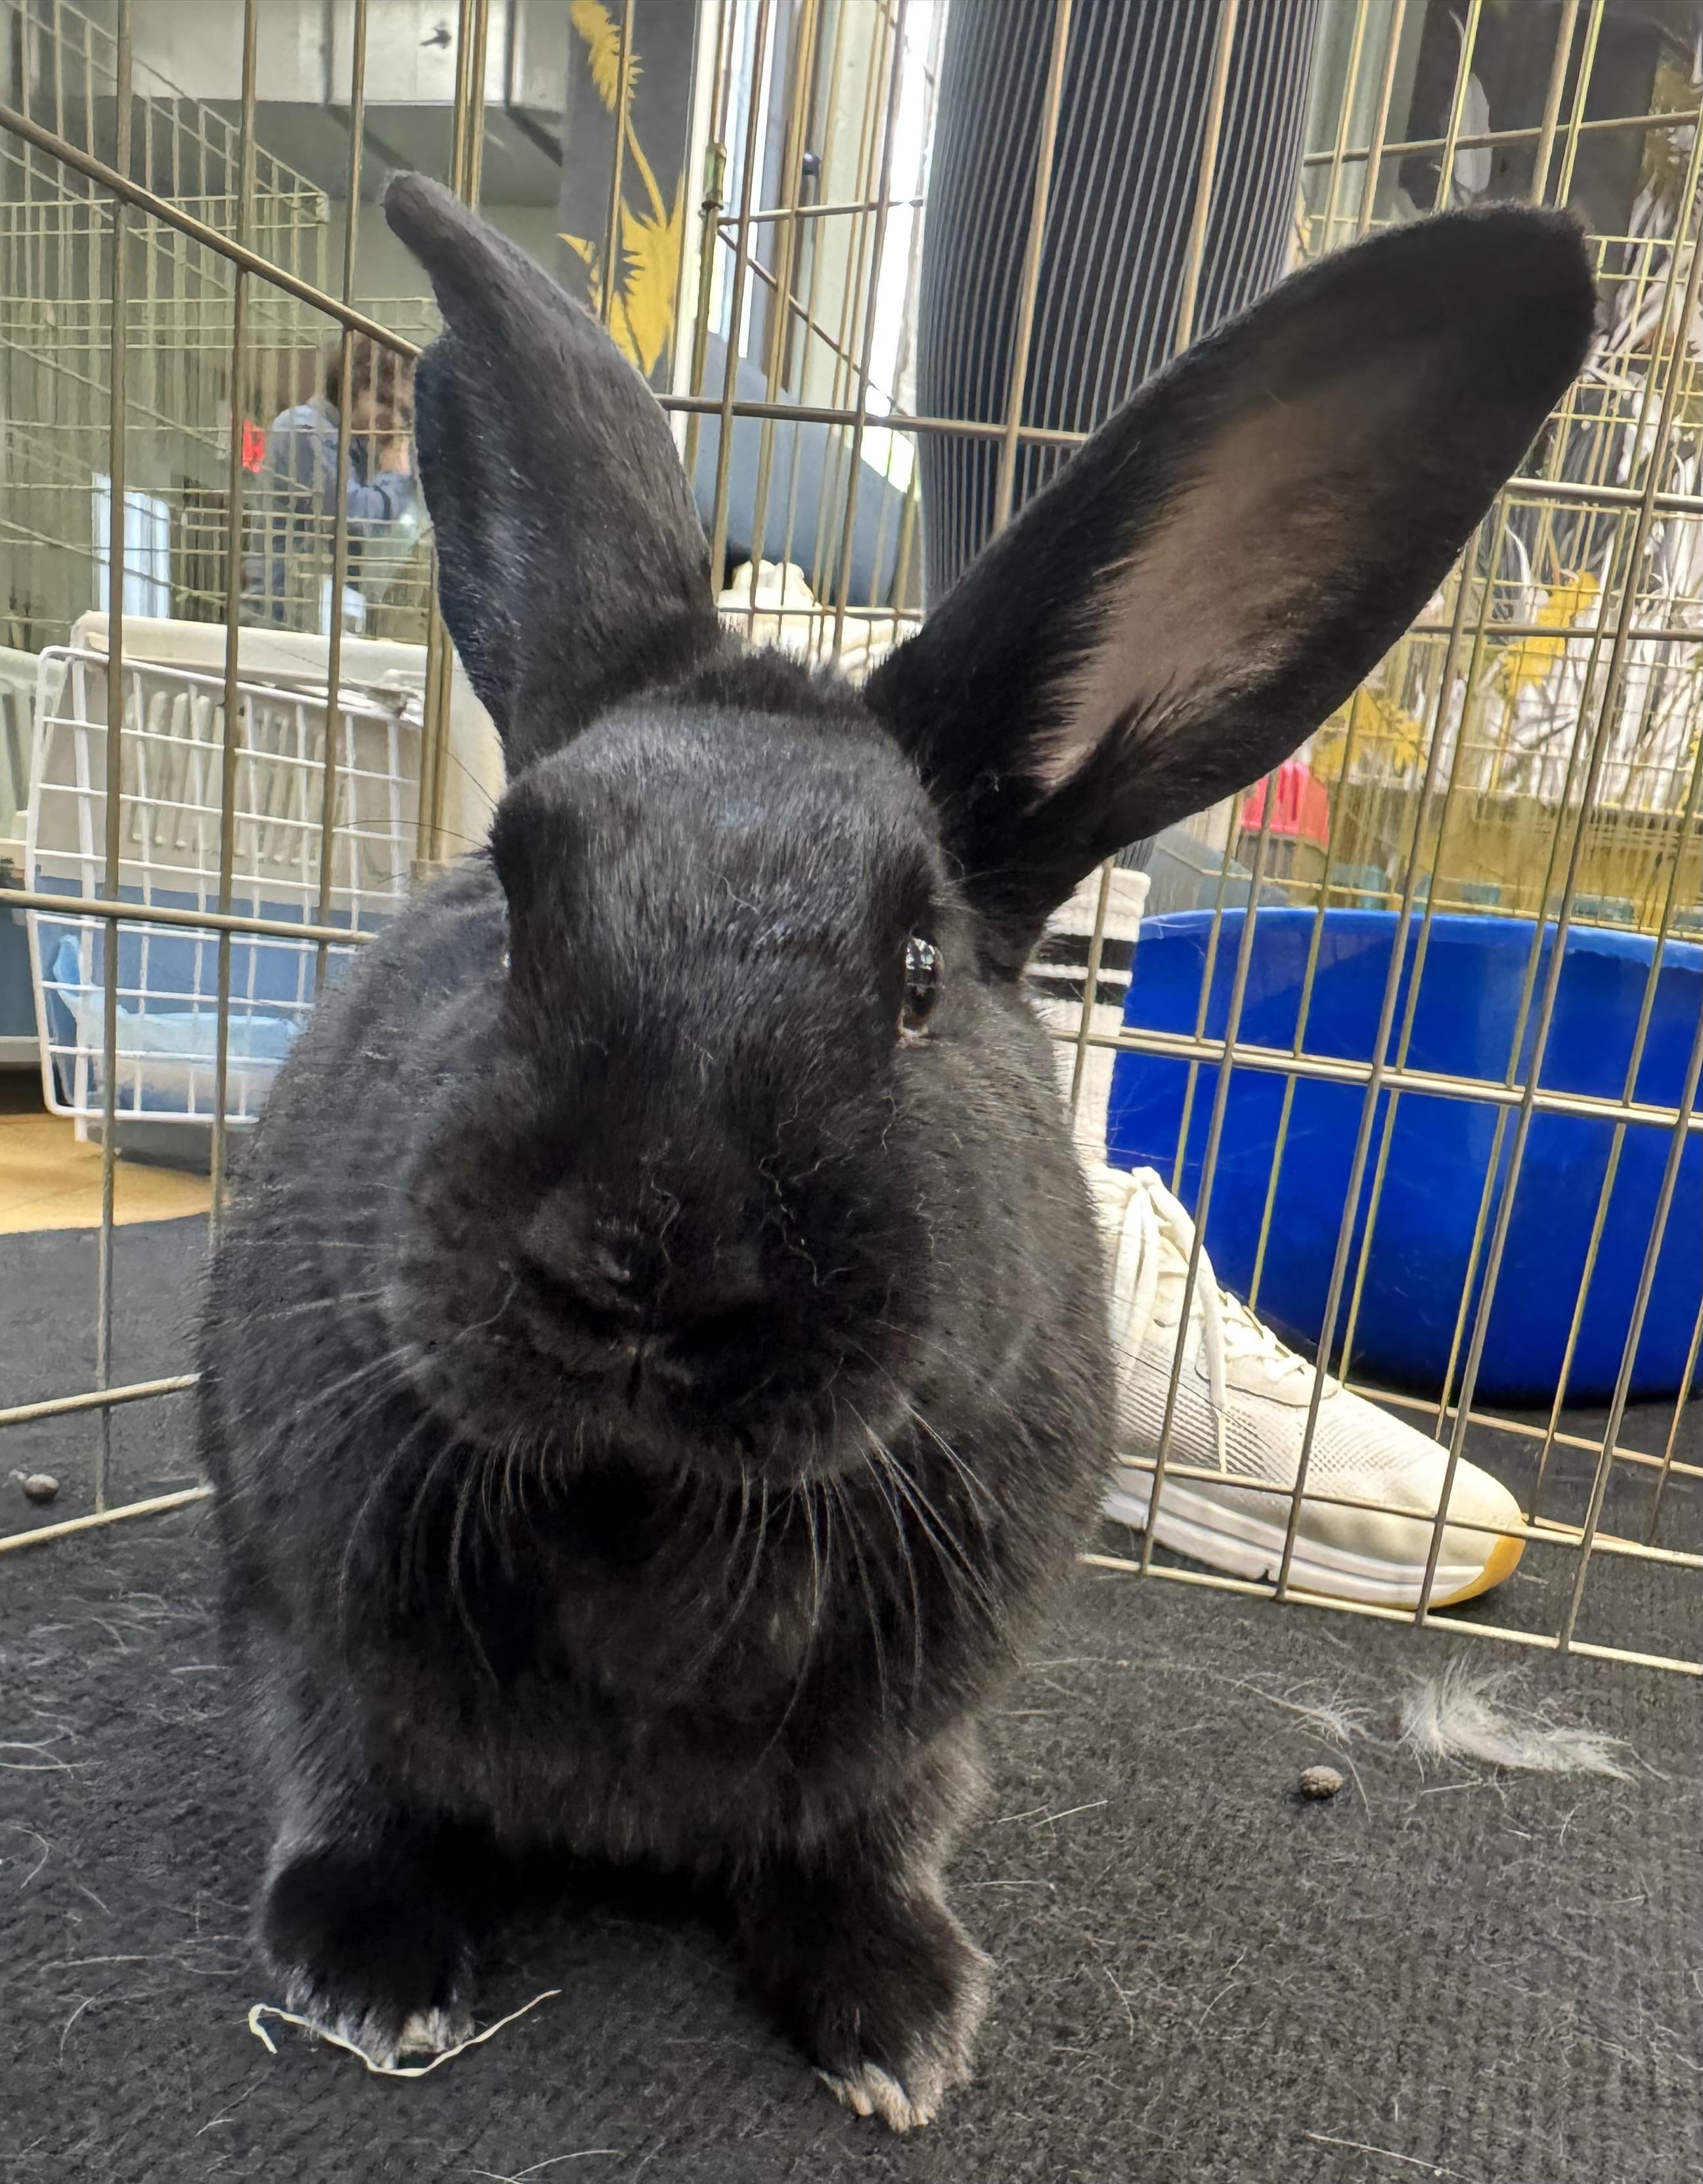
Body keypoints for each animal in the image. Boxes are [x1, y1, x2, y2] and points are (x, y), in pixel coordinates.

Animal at [196, 171, 1594, 2130]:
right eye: (515, 892)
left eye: (923, 967)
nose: (636, 1264)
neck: (647, 1509)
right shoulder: (307, 1618)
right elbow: (349, 1776)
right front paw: (371, 1969)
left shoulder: (917, 1740)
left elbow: (868, 1848)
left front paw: (904, 2023)